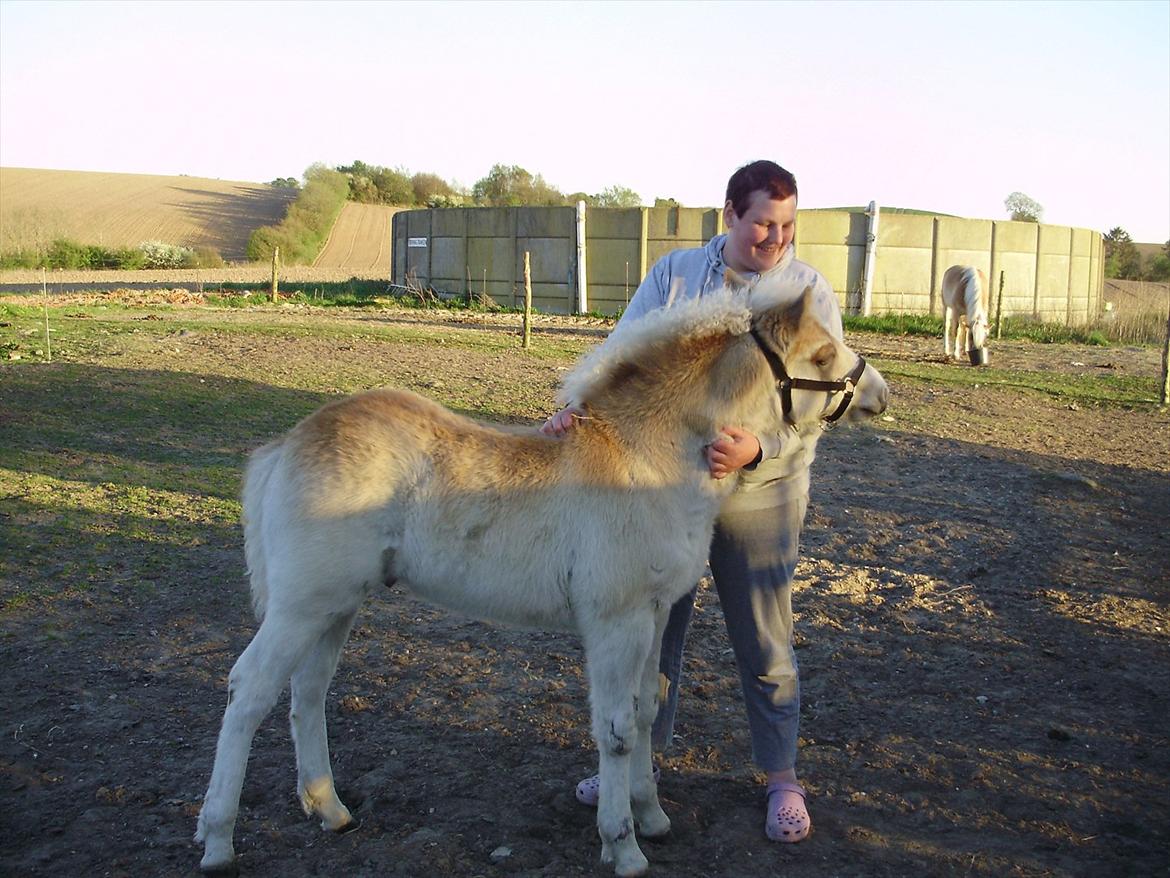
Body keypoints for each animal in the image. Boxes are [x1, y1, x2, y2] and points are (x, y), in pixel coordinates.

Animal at [194, 278, 884, 875]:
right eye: (822, 354)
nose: (878, 393)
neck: (647, 458)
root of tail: (285, 446)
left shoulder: (655, 613)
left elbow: (644, 710)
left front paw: (652, 816)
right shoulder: (616, 621)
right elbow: (615, 729)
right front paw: (623, 846)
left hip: (337, 607)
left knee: (307, 693)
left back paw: (330, 809)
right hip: (301, 607)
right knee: (248, 690)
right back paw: (217, 839)